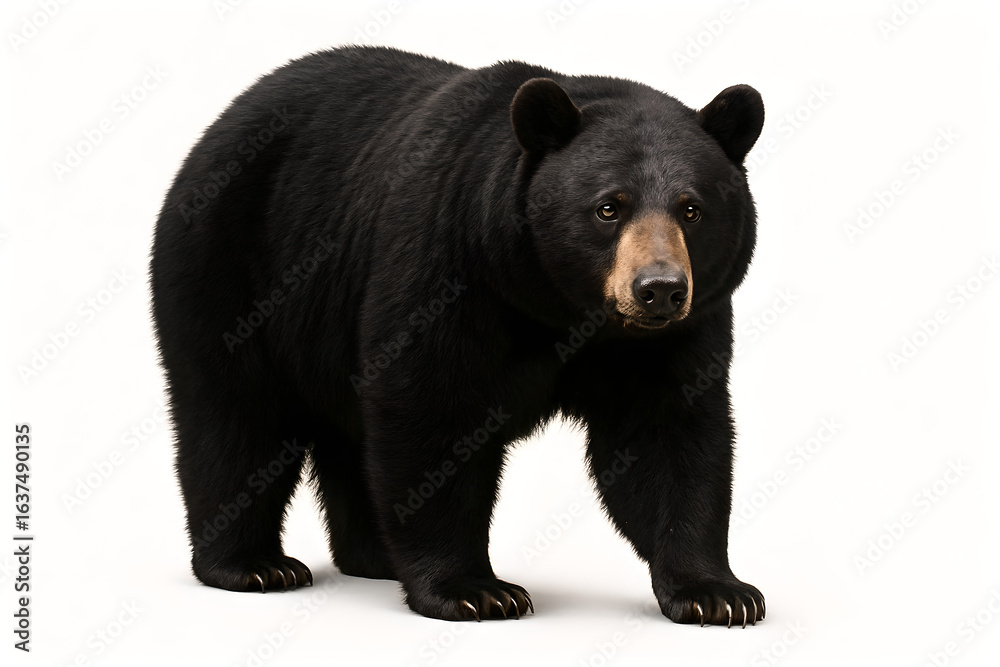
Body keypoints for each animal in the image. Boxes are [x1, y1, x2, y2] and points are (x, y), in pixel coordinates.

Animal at [150, 45, 766, 627]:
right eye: (609, 208)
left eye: (692, 209)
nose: (659, 289)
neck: (561, 306)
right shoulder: (451, 268)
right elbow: (431, 411)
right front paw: (475, 590)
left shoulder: (674, 335)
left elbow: (669, 435)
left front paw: (717, 593)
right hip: (231, 266)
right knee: (236, 416)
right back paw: (253, 565)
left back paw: (374, 557)